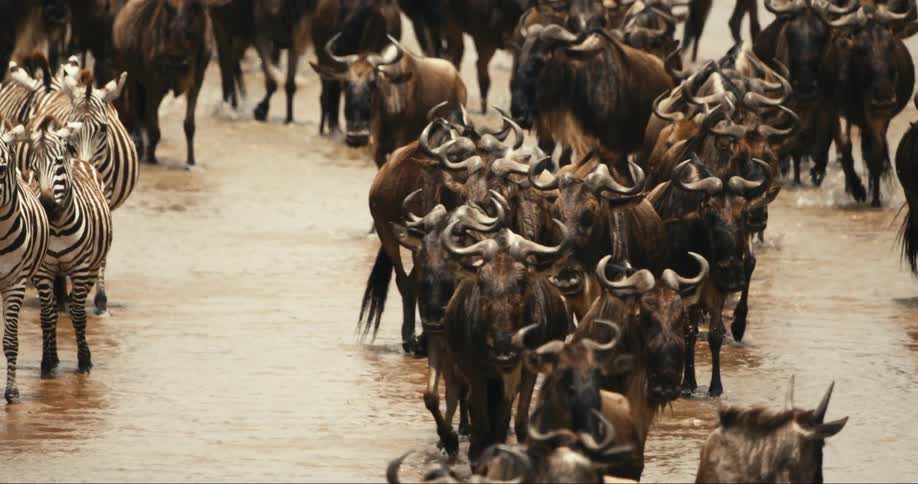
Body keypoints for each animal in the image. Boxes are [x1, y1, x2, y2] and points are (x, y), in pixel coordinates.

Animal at [25, 115, 112, 376]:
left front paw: (84, 361)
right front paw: (47, 362)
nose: (47, 205)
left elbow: (78, 314)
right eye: (33, 167)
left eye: (57, 164)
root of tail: (80, 160)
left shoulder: (81, 268)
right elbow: (47, 315)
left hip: (93, 265)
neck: (58, 227)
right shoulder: (43, 270)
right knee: (56, 306)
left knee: (77, 304)